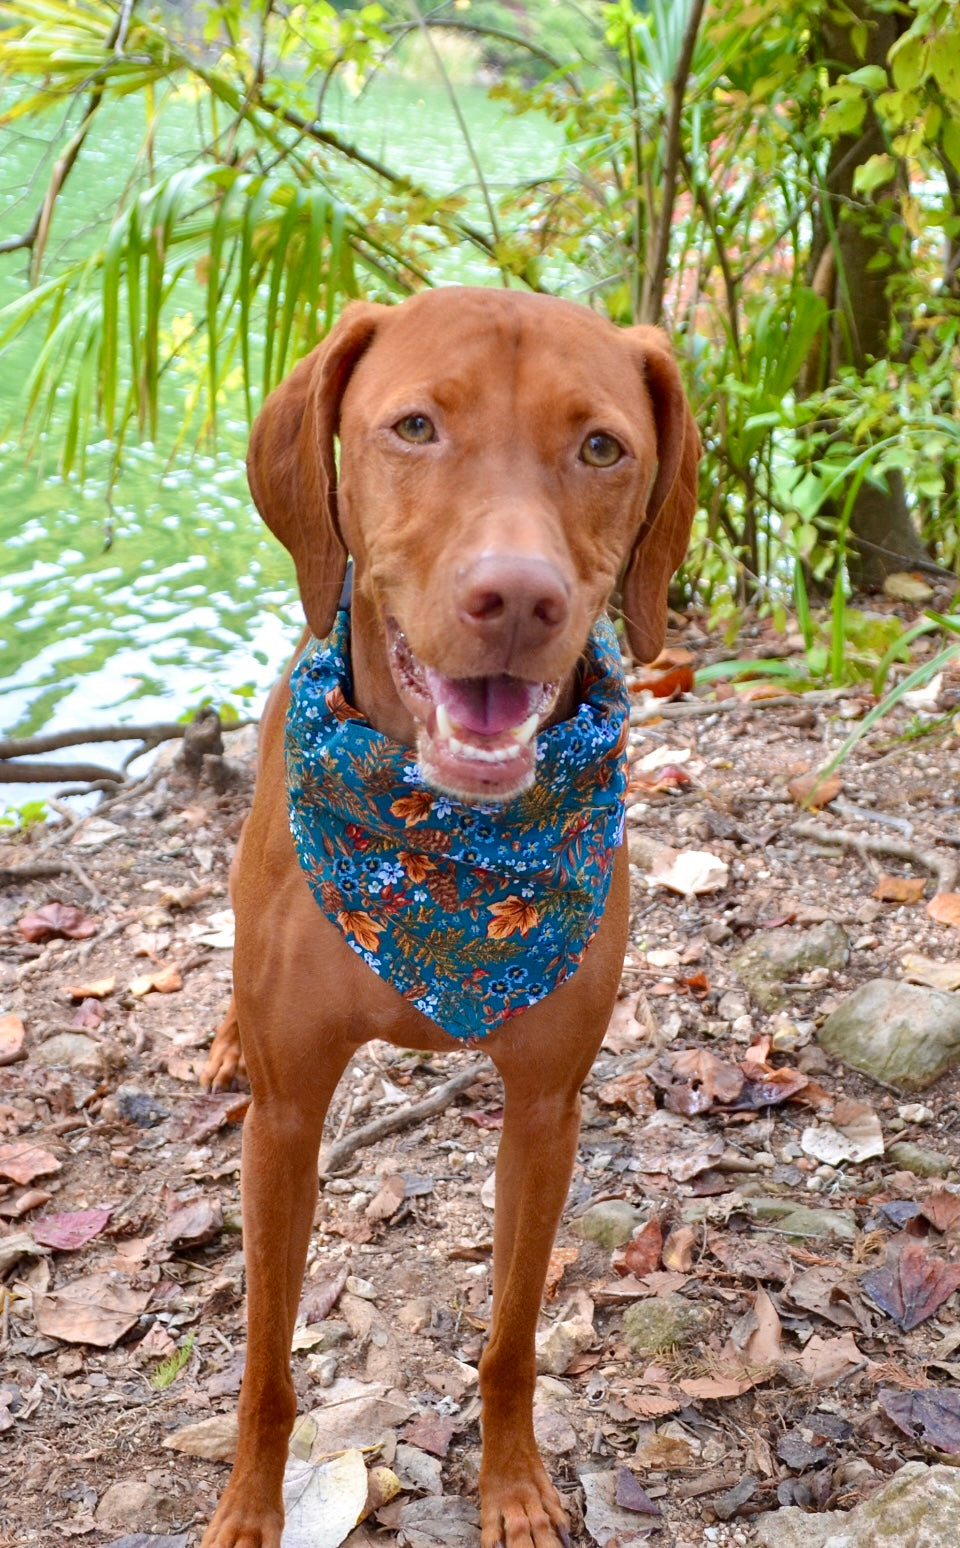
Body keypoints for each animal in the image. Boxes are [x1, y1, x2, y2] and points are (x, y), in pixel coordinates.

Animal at [202, 291, 696, 1548]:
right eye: (416, 427)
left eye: (602, 447)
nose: (518, 599)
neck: (445, 871)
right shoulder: (285, 1124)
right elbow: (266, 1364)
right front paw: (248, 1509)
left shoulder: (546, 1111)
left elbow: (512, 1338)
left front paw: (513, 1487)